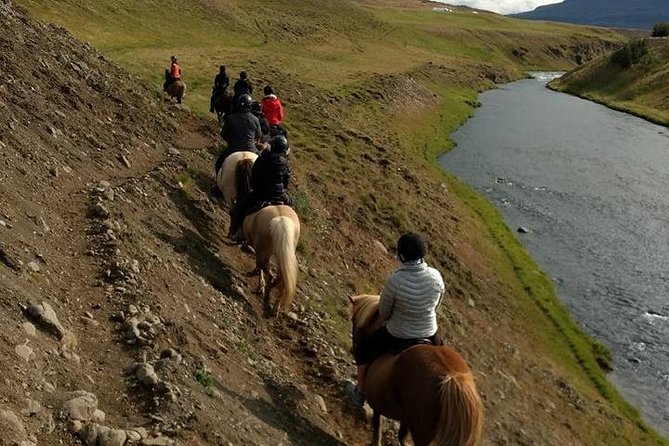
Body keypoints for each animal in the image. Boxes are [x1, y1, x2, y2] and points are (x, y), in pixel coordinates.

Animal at [350, 294, 480, 446]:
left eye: (353, 319)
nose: (353, 348)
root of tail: (452, 377)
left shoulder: (377, 402)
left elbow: (378, 426)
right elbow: (401, 435)